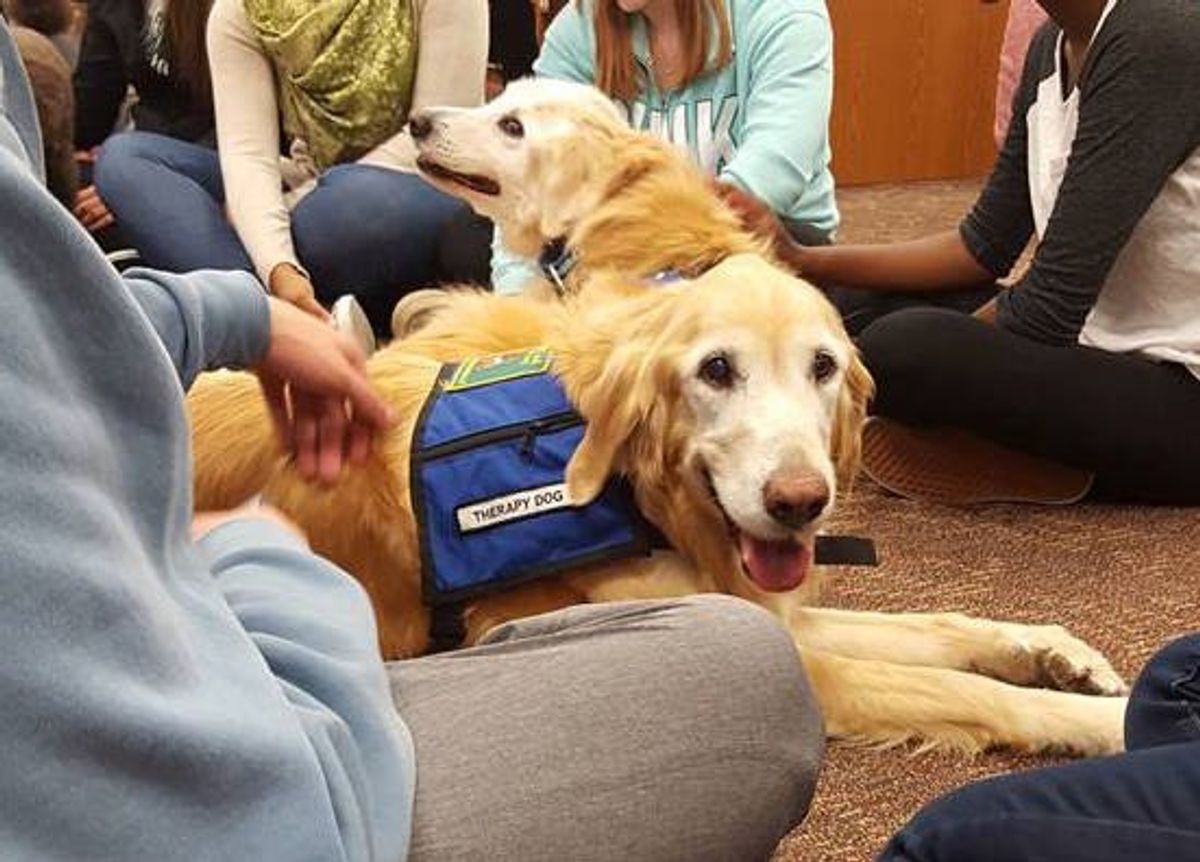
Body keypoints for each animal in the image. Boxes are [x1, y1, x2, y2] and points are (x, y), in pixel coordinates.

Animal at [187, 260, 1123, 758]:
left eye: (823, 366)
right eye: (716, 370)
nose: (799, 503)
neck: (643, 490)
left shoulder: (758, 600)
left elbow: (942, 626)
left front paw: (1058, 653)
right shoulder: (789, 658)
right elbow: (959, 687)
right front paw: (1104, 721)